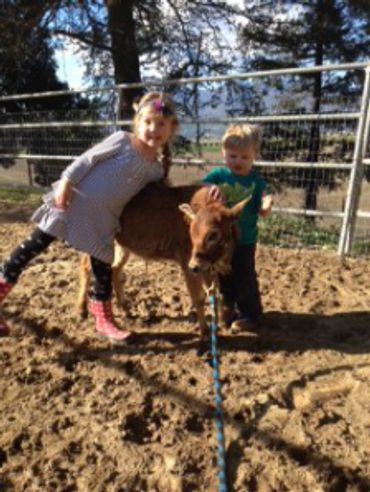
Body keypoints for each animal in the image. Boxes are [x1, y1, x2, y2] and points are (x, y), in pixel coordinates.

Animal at [77, 183, 250, 340]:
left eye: (214, 235)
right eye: (191, 232)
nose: (194, 265)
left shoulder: (208, 269)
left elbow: (215, 294)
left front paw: (220, 323)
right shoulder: (188, 265)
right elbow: (199, 299)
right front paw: (205, 332)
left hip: (122, 246)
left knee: (115, 269)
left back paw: (125, 308)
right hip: (98, 242)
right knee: (86, 267)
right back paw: (82, 310)